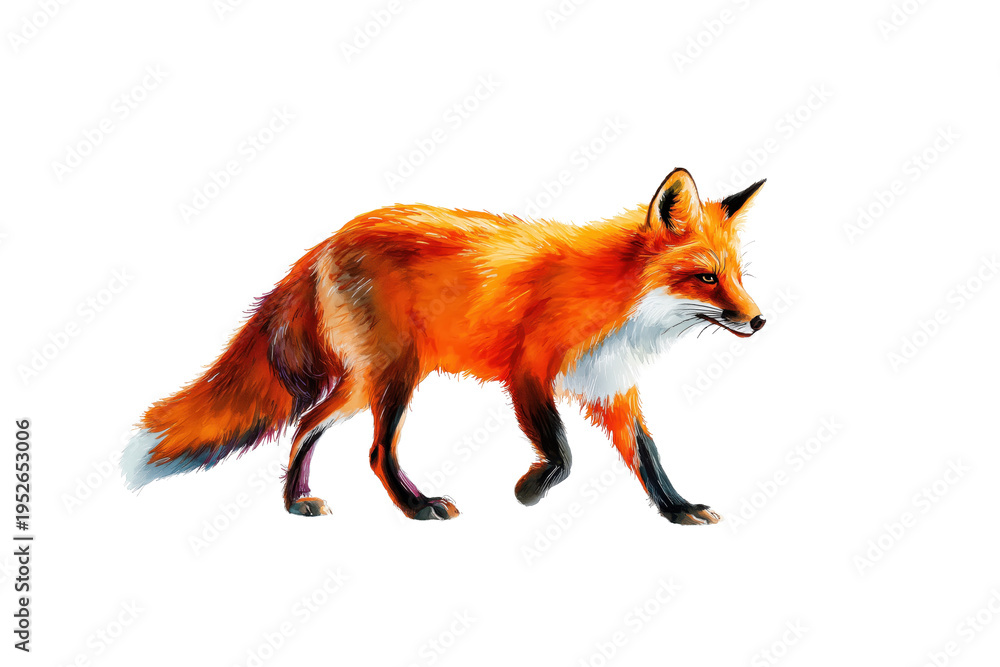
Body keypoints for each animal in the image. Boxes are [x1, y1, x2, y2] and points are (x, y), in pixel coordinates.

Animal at [122, 168, 767, 525]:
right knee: (376, 452)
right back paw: (416, 507)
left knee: (306, 425)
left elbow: (650, 457)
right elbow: (562, 453)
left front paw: (677, 510)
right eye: (706, 277)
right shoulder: (527, 370)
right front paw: (530, 490)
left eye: (737, 276)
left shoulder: (610, 386)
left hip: (364, 384)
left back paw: (296, 502)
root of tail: (329, 240)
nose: (760, 321)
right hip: (395, 377)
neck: (619, 301)